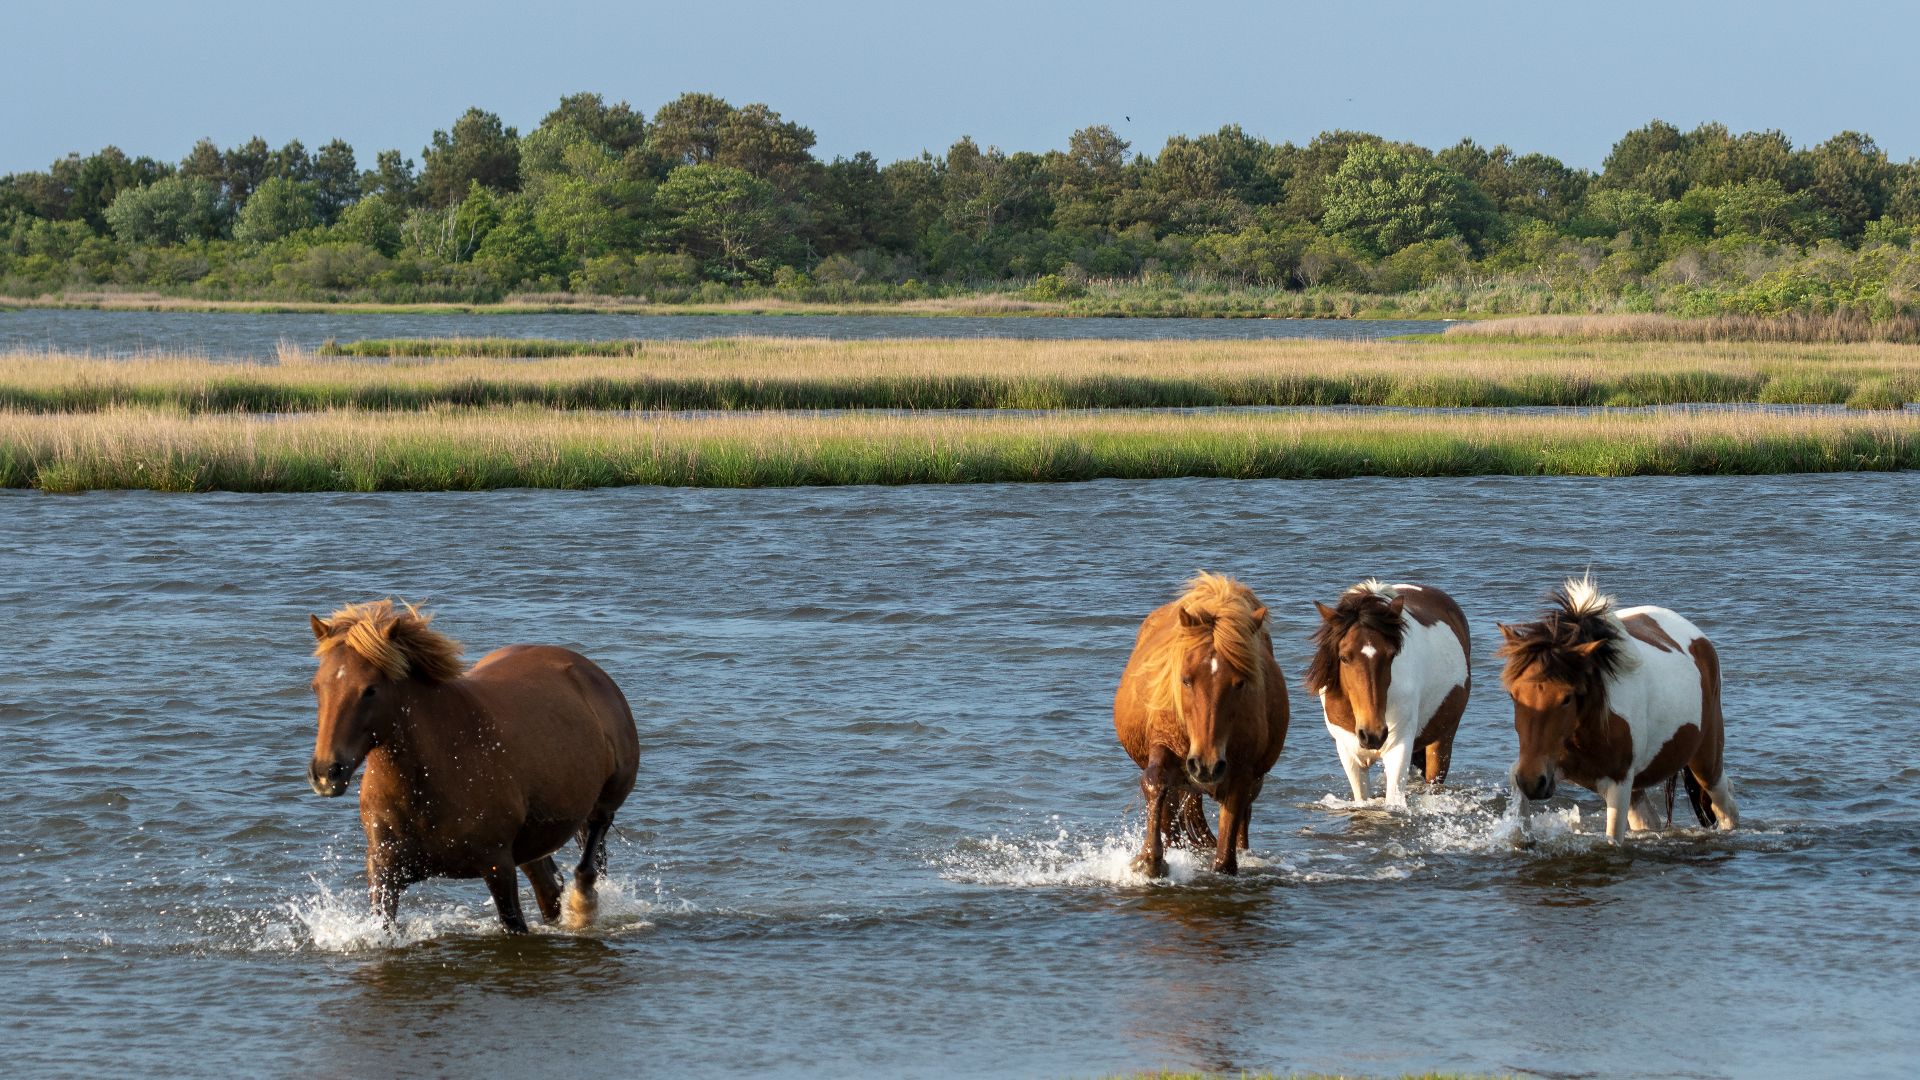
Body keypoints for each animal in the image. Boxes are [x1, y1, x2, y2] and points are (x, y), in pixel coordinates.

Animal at [304, 599, 640, 933]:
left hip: (603, 804)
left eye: (370, 689)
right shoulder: (384, 871)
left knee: (588, 859)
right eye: (317, 687)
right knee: (549, 885)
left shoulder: (497, 865)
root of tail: (591, 672)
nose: (326, 773)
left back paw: (583, 906)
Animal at [1113, 573, 1290, 878]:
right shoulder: (1163, 743)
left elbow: (1226, 852)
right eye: (1186, 679)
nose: (1205, 765)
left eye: (1240, 683)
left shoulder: (1241, 773)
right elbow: (1154, 783)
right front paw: (1150, 860)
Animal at [1304, 580, 1470, 808]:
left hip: (1442, 741)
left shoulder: (1398, 748)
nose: (1372, 734)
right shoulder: (1349, 754)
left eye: (1392, 654)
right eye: (1344, 657)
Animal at [1496, 576, 1738, 842]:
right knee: (1649, 821)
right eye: (1513, 694)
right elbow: (1518, 794)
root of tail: (1700, 639)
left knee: (1726, 806)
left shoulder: (1619, 783)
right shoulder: (1549, 765)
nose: (1532, 782)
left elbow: (1612, 838)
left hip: (1706, 763)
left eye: (1567, 698)